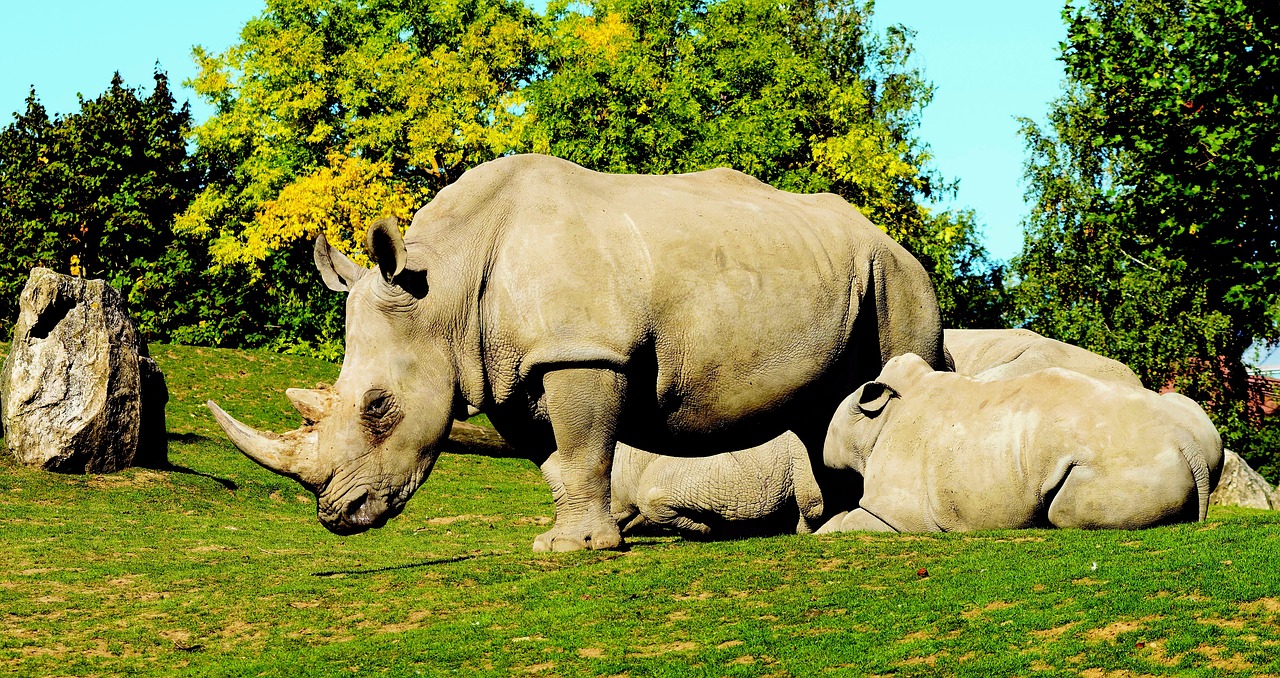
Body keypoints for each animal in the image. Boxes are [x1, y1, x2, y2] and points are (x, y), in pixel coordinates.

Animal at [209, 152, 947, 547]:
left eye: (378, 407)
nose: (336, 516)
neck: (444, 288)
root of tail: (888, 235)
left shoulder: (584, 350)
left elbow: (585, 445)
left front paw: (581, 548)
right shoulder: (511, 366)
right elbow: (558, 461)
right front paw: (561, 542)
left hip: (898, 275)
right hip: (846, 269)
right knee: (825, 410)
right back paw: (828, 528)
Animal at [814, 350, 1223, 529]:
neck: (880, 421)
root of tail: (1185, 445)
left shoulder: (894, 515)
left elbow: (843, 526)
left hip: (1127, 460)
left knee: (1065, 513)